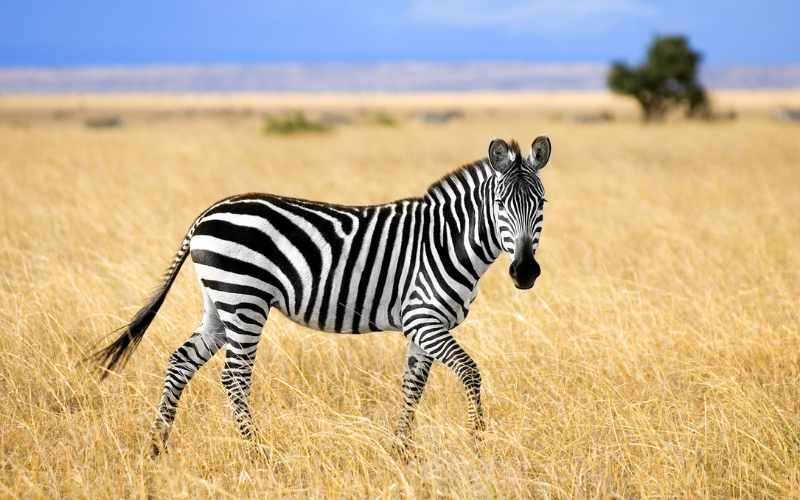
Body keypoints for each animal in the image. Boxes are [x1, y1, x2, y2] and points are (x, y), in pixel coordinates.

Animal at [90, 136, 552, 457]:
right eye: (500, 203)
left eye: (542, 203)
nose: (526, 272)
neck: (446, 240)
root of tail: (206, 213)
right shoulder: (423, 317)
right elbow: (470, 373)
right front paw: (477, 442)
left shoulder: (423, 327)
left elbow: (413, 386)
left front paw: (401, 451)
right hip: (245, 299)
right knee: (234, 377)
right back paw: (257, 454)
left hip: (219, 303)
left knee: (181, 362)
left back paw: (157, 446)